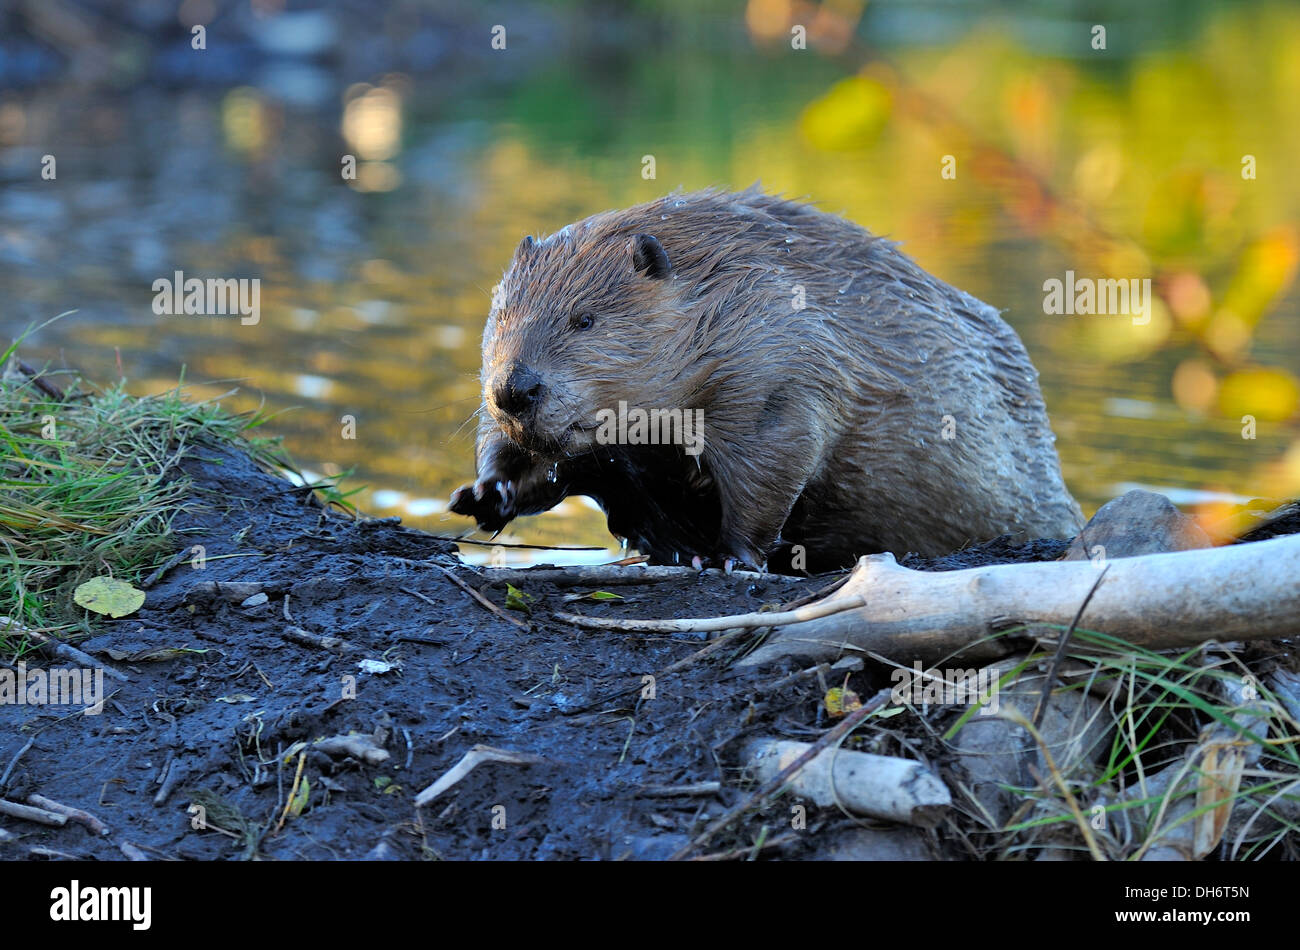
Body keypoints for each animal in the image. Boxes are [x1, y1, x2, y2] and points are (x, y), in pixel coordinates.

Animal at [452, 187, 1081, 571]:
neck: (714, 285)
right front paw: (483, 495)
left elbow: (773, 462)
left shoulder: (777, 359)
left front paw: (732, 556)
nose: (513, 390)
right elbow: (550, 464)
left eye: (584, 319)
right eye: (501, 313)